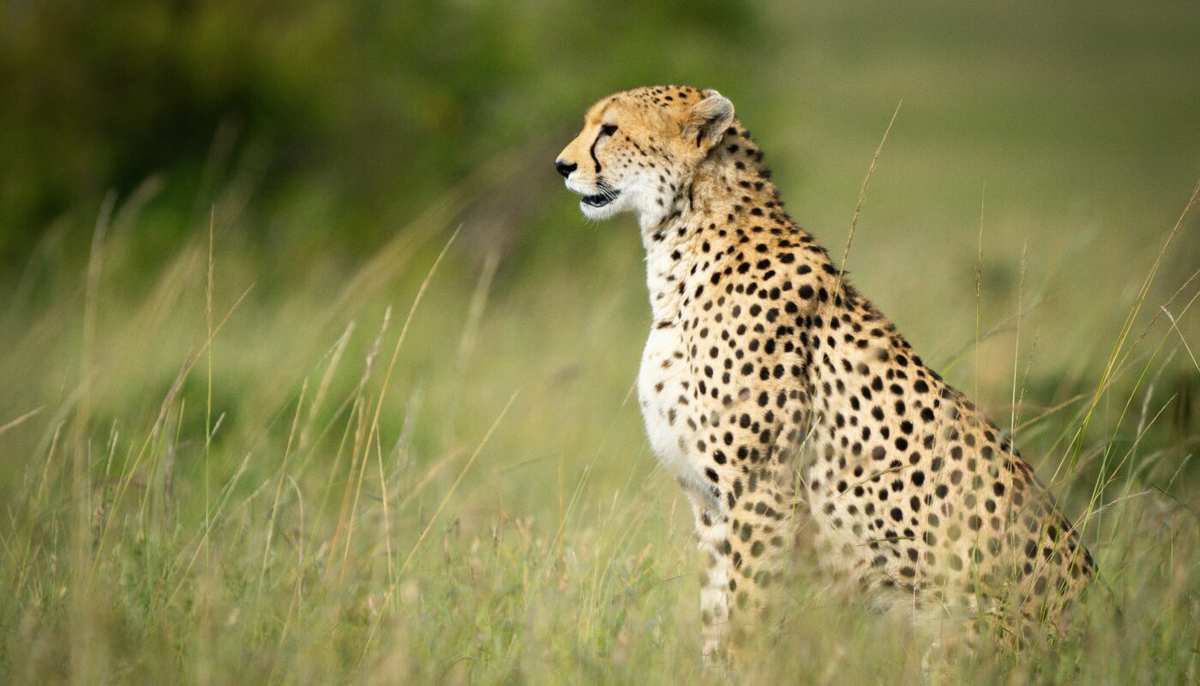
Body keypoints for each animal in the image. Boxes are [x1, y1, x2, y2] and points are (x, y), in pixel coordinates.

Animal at [554, 85, 1096, 663]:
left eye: (610, 129)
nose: (561, 166)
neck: (683, 243)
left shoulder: (762, 495)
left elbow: (746, 613)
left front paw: (746, 666)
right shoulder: (710, 504)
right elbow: (716, 617)